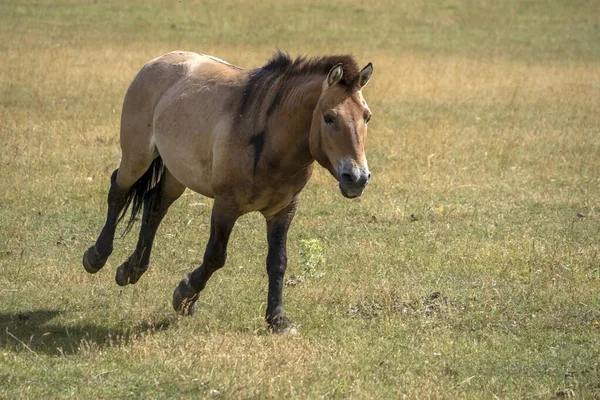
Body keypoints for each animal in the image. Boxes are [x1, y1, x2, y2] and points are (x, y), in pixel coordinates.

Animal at [83, 50, 376, 334]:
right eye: (329, 118)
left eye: (367, 117)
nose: (357, 178)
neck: (269, 139)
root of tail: (157, 61)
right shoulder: (226, 205)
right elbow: (215, 256)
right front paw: (185, 296)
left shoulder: (283, 210)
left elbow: (277, 262)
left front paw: (277, 319)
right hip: (137, 156)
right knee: (118, 190)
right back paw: (96, 256)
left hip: (177, 174)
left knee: (155, 208)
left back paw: (131, 270)